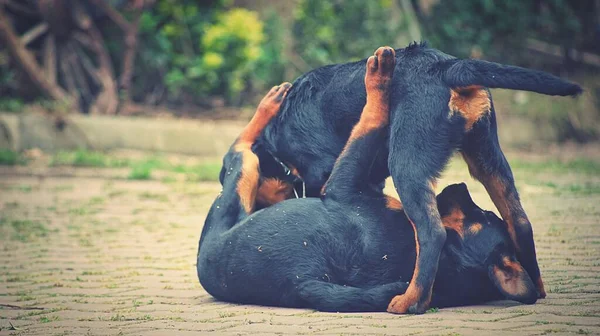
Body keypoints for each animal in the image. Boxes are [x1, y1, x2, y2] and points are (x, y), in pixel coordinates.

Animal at [197, 48, 540, 316]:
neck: (279, 151)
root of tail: (446, 68)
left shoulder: (325, 175)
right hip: (487, 156)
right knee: (519, 221)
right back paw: (537, 286)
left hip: (407, 161)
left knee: (432, 232)